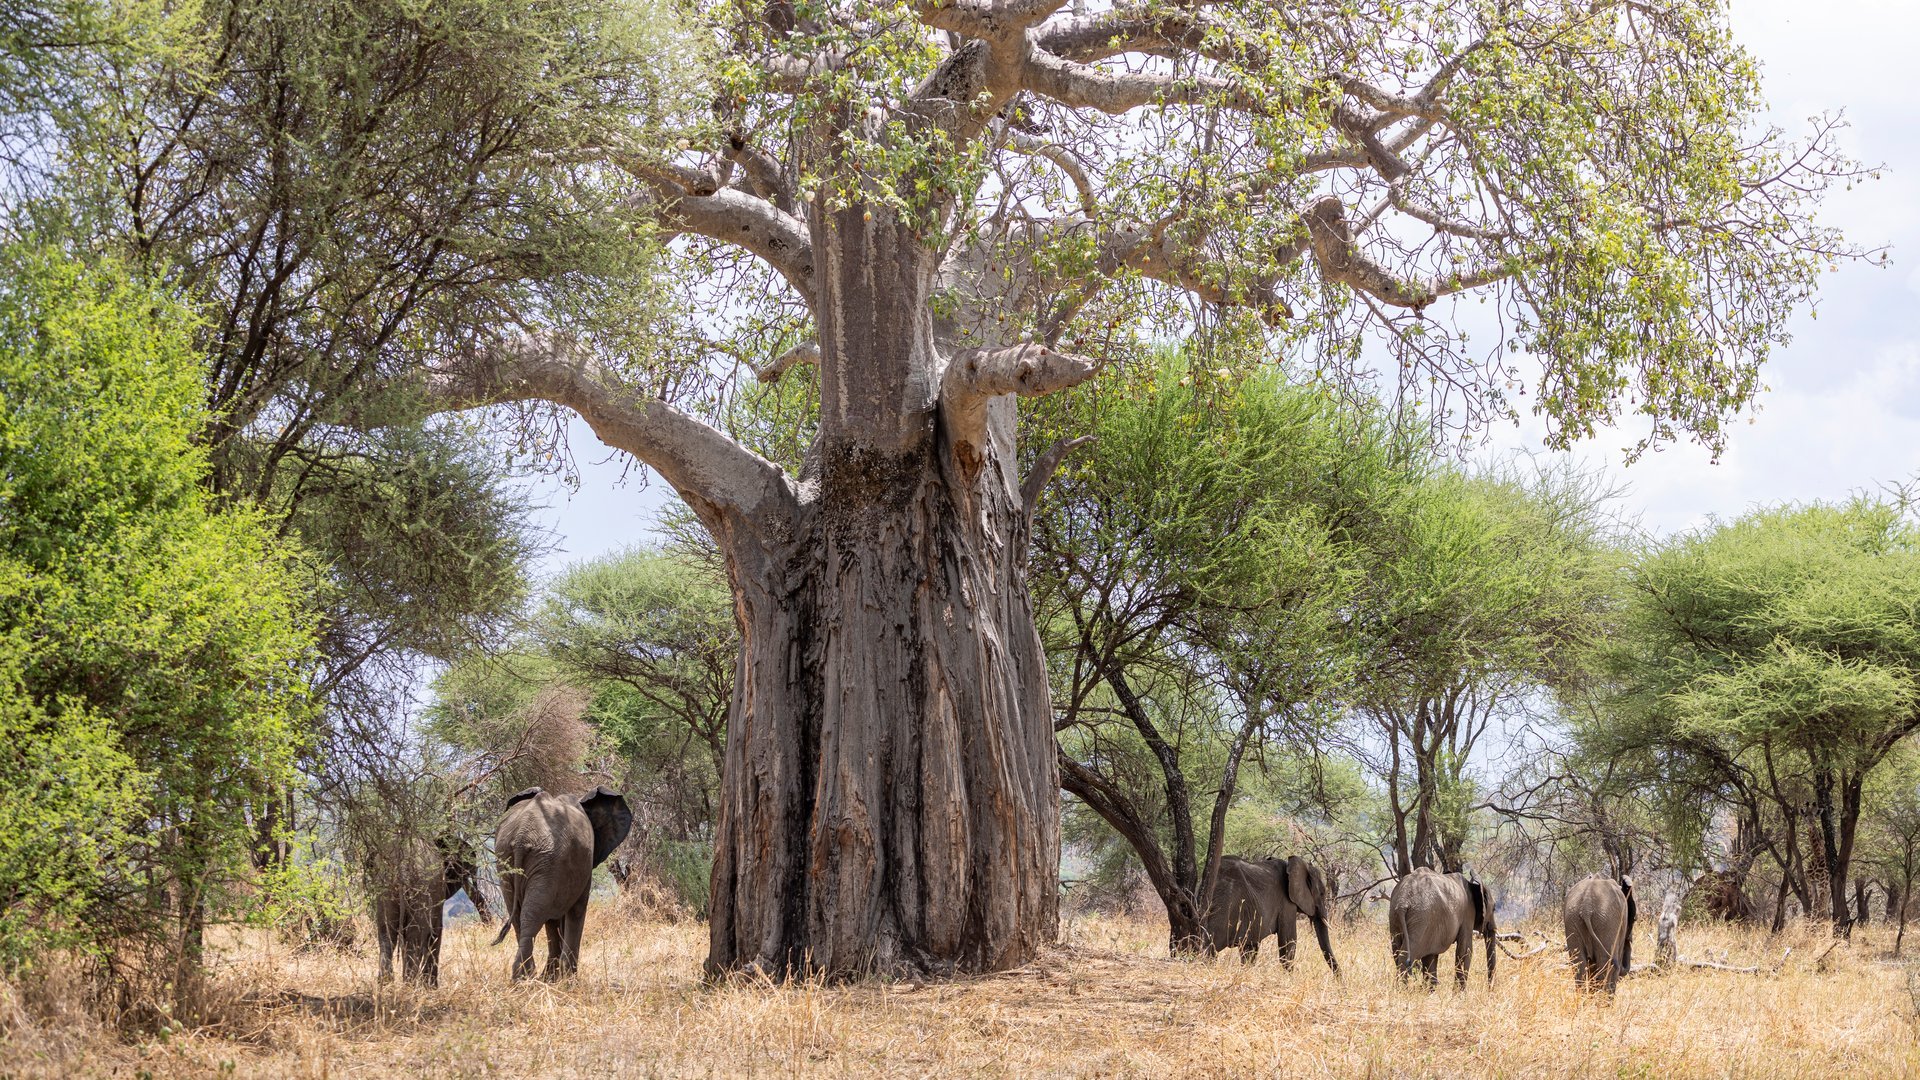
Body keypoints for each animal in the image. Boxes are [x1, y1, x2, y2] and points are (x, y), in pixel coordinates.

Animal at [369, 835, 489, 988]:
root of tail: (403, 868)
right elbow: (435, 932)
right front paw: (431, 988)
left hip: (386, 889)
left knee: (387, 935)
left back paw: (386, 986)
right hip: (422, 891)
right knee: (415, 938)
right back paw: (410, 986)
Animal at [490, 785, 633, 980]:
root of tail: (521, 836)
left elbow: (553, 919)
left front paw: (553, 978)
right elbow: (576, 910)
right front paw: (567, 980)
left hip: (511, 858)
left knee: (521, 915)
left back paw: (523, 979)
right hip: (546, 859)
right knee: (531, 916)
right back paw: (527, 978)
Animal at [1201, 855, 1340, 972]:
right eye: (1322, 893)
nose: (1340, 982)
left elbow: (1250, 949)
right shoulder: (1286, 904)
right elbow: (1288, 943)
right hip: (1224, 908)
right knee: (1210, 948)